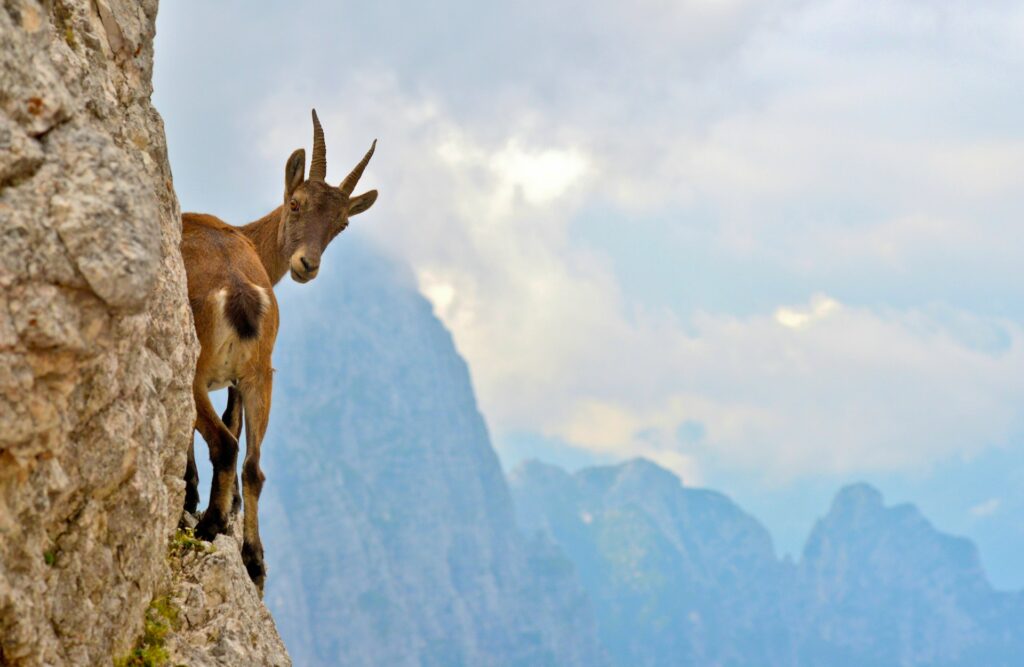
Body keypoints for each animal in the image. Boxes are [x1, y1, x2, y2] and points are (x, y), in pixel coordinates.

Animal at [179, 109, 377, 592]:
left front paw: (193, 497)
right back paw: (253, 560)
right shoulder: (238, 379)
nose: (307, 264)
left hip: (197, 371)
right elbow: (233, 423)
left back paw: (209, 526)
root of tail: (238, 292)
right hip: (261, 374)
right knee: (253, 464)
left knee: (225, 445)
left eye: (341, 224)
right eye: (296, 204)